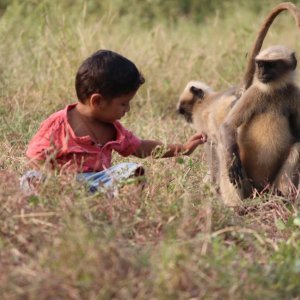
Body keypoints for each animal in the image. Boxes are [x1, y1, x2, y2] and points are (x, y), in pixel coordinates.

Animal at [220, 45, 300, 202]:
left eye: (271, 65)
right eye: (261, 65)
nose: (261, 73)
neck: (274, 91)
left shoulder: (296, 95)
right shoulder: (253, 92)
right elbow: (228, 125)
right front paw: (232, 162)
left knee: (298, 147)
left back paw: (280, 196)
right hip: (248, 185)